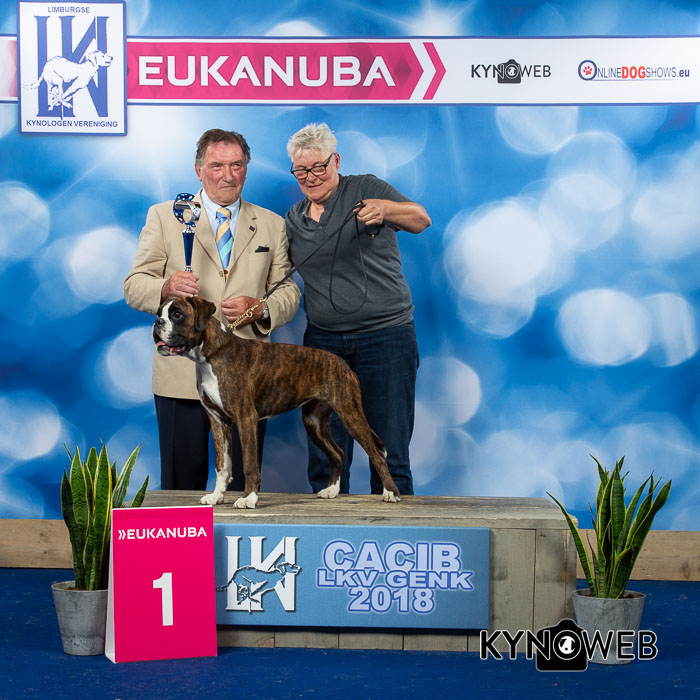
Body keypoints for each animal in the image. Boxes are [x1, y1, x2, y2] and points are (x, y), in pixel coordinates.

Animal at [152, 295, 401, 509]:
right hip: (314, 422)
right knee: (337, 453)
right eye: (159, 313)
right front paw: (216, 496)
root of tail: (342, 364)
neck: (212, 354)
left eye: (177, 314)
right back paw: (331, 490)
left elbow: (249, 463)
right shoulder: (218, 422)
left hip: (350, 414)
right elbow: (222, 464)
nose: (157, 322)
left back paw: (391, 492)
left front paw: (248, 499)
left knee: (376, 455)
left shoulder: (246, 419)